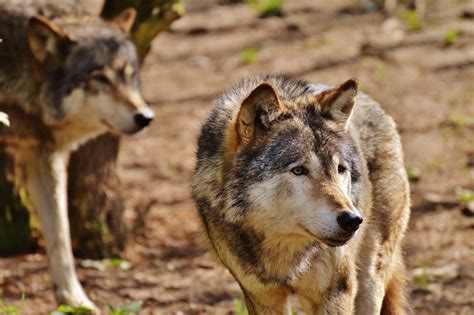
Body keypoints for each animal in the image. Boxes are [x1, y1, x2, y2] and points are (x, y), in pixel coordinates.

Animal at [0, 0, 153, 312]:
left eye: (129, 75)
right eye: (100, 78)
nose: (145, 117)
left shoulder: (45, 157)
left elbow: (61, 236)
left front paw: (74, 300)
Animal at [193, 75, 412, 314]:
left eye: (340, 169)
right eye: (298, 170)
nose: (353, 220)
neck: (284, 250)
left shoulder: (337, 292)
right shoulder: (261, 297)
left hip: (369, 280)